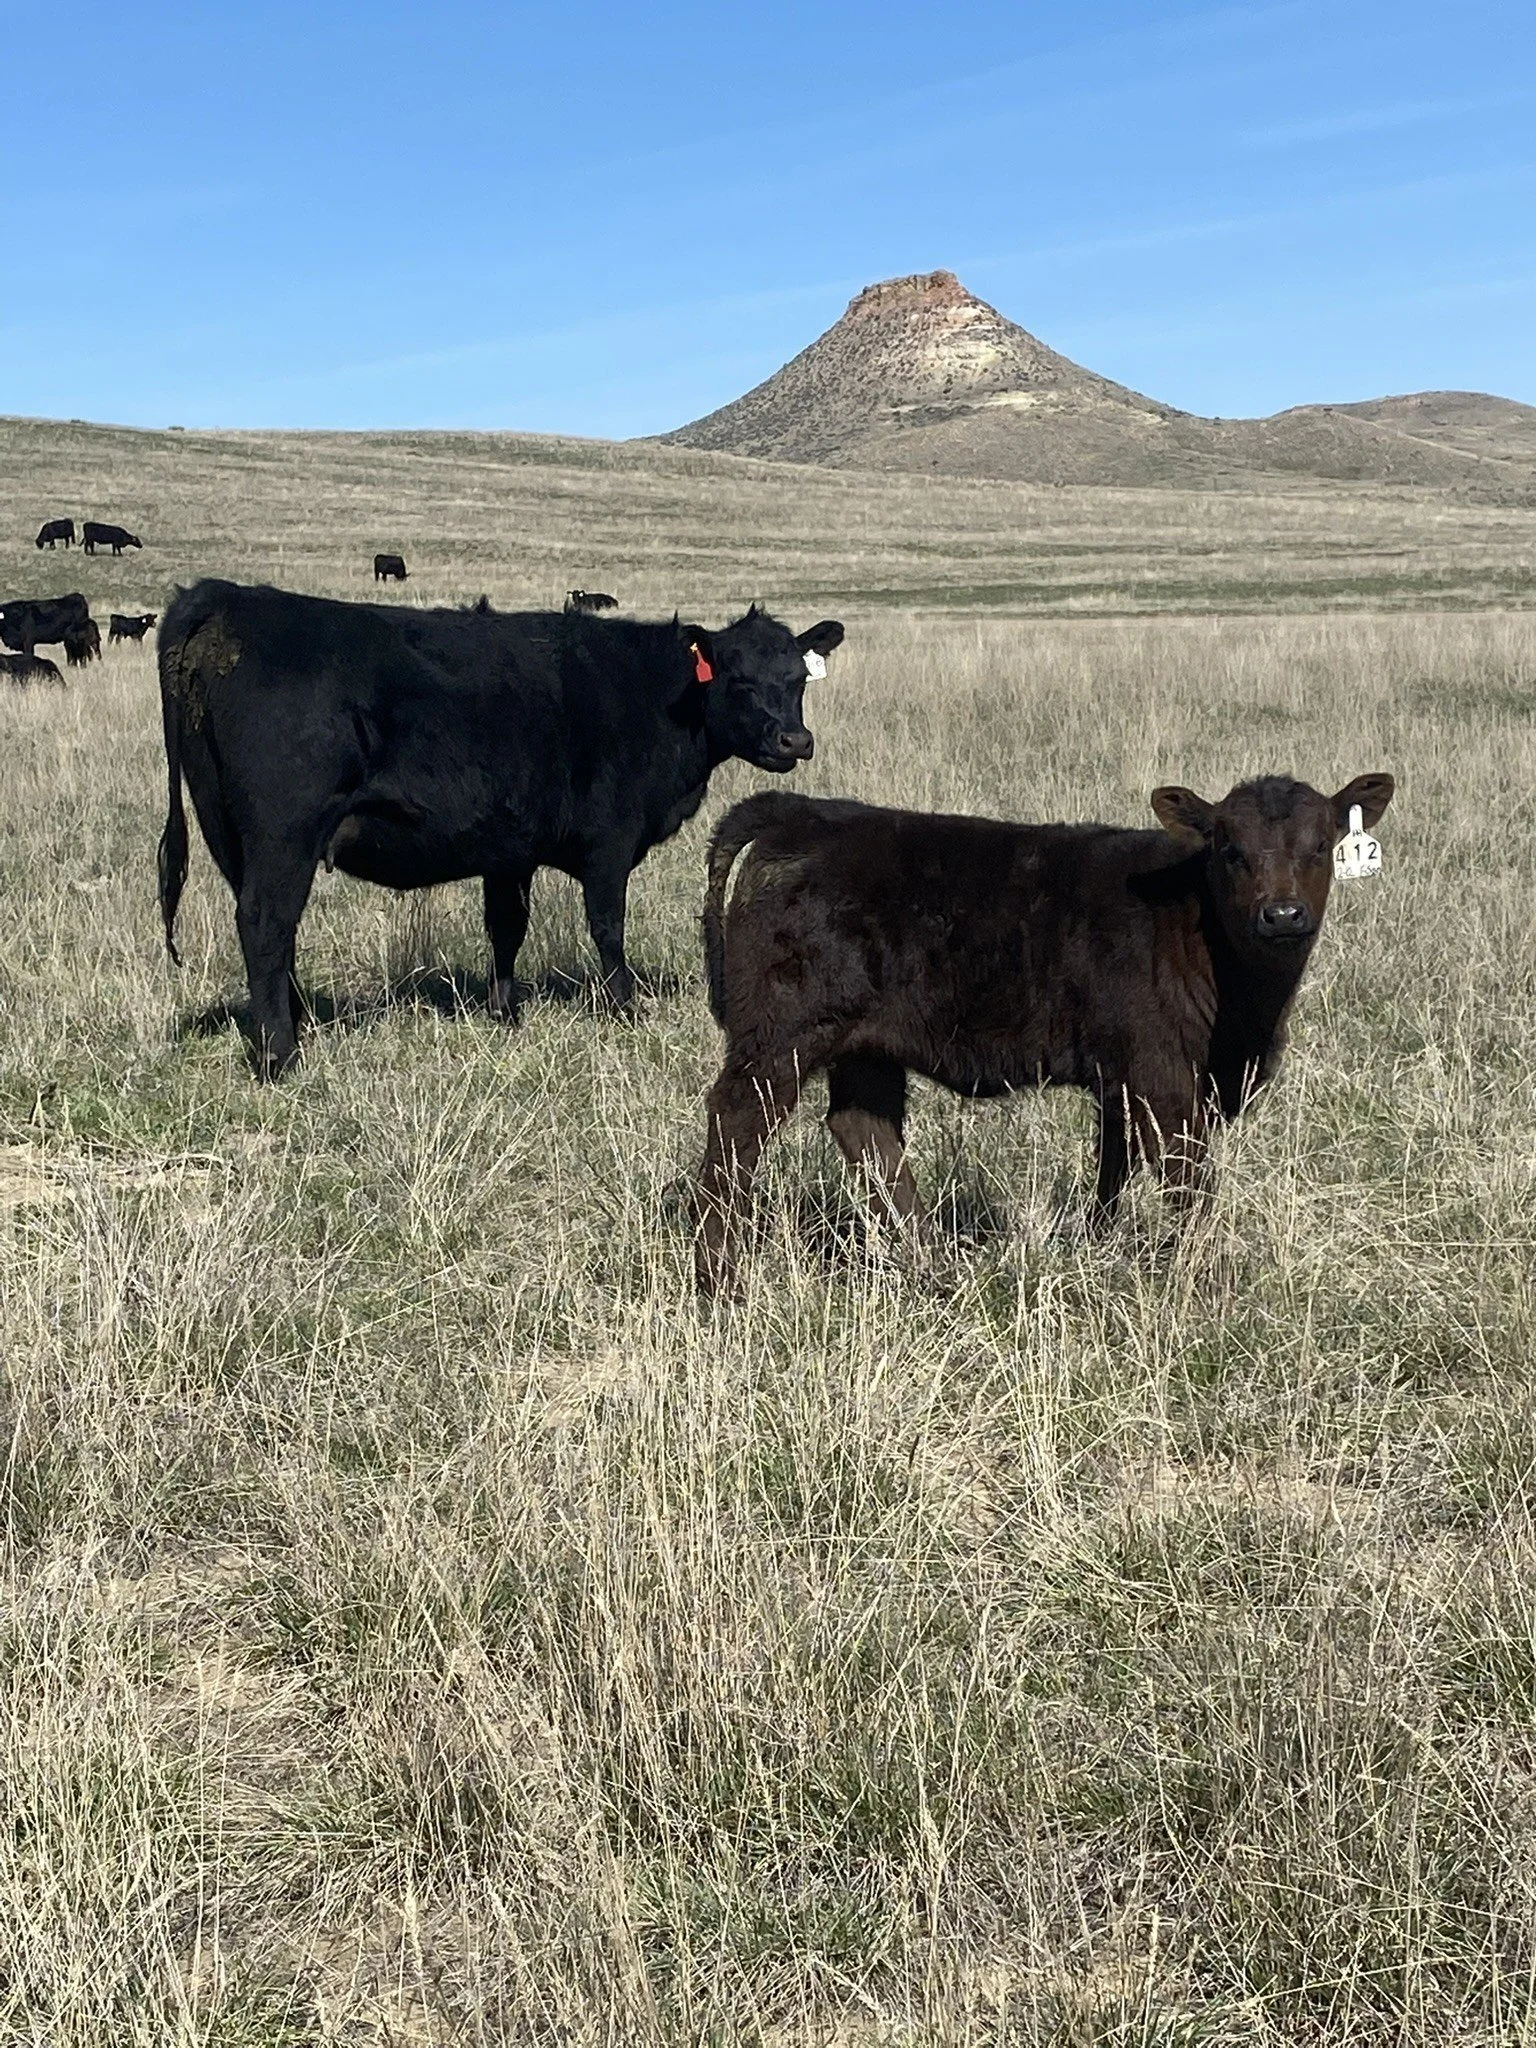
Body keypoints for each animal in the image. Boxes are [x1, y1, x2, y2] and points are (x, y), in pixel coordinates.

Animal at [157, 580, 844, 1079]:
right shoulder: (609, 841)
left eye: (798, 678)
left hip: (231, 834)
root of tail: (223, 595)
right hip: (284, 836)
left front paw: (505, 1013)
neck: (651, 695)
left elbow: (507, 927)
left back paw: (293, 1023)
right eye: (739, 679)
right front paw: (625, 1007)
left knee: (274, 933)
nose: (796, 740)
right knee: (266, 924)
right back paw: (279, 1055)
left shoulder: (509, 846)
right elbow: (608, 927)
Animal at [693, 773, 1394, 1293]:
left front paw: (1101, 1246)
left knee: (866, 1130)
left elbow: (1115, 1167)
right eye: (1231, 851)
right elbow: (1186, 1175)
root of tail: (799, 811)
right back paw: (718, 1279)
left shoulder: (1121, 1078)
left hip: (866, 1043)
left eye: (1321, 845)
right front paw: (1204, 1278)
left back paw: (932, 1266)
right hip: (782, 1033)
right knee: (738, 1118)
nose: (1283, 914)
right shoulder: (1162, 1072)